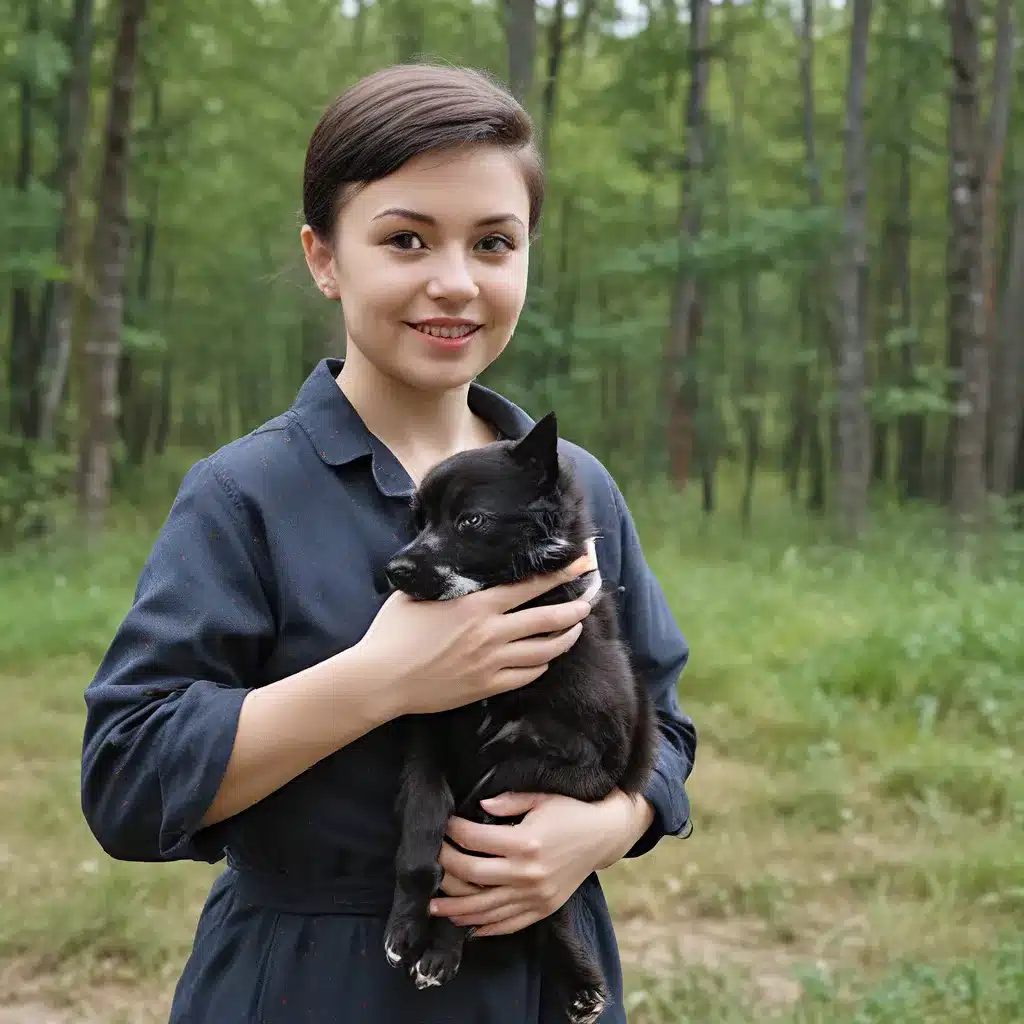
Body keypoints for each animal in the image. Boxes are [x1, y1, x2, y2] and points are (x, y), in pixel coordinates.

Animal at [378, 411, 655, 1019]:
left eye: (471, 520)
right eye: (418, 520)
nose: (394, 569)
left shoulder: (556, 765)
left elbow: (474, 857)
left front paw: (441, 948)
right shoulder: (427, 741)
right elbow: (423, 831)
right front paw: (405, 927)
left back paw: (578, 985)